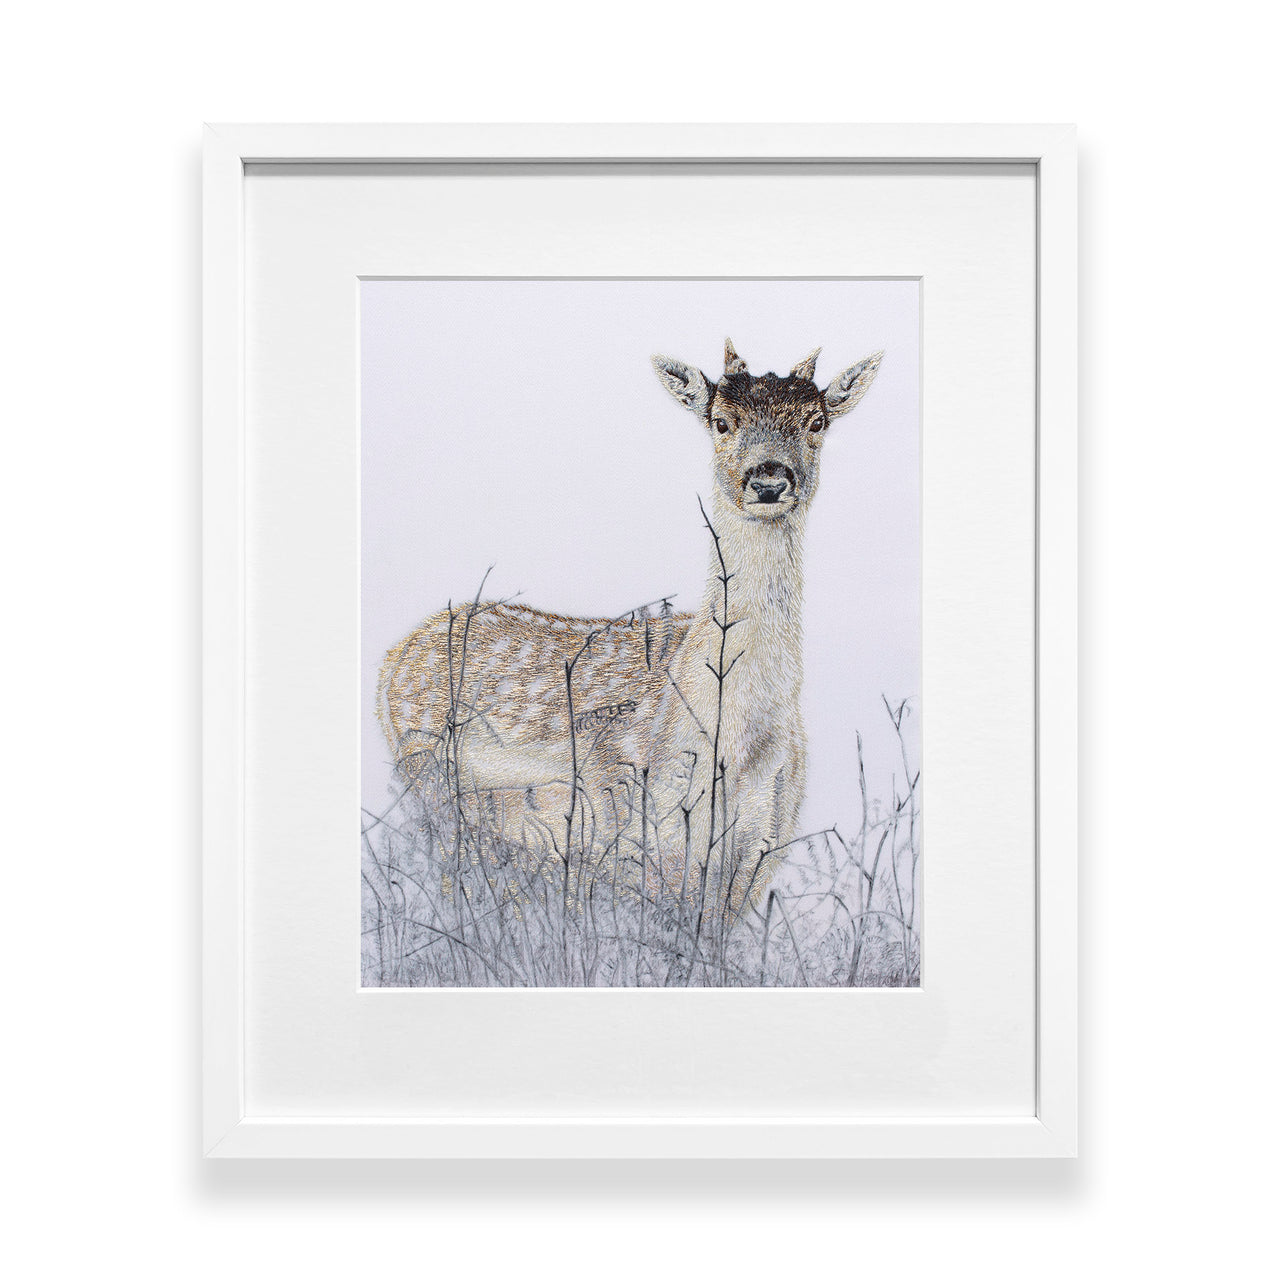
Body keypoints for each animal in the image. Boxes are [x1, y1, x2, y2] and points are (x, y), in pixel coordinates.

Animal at [377, 338, 883, 926]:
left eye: (816, 421)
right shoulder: (628, 818)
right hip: (430, 777)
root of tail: (390, 660)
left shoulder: (763, 844)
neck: (734, 746)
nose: (769, 480)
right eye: (721, 421)